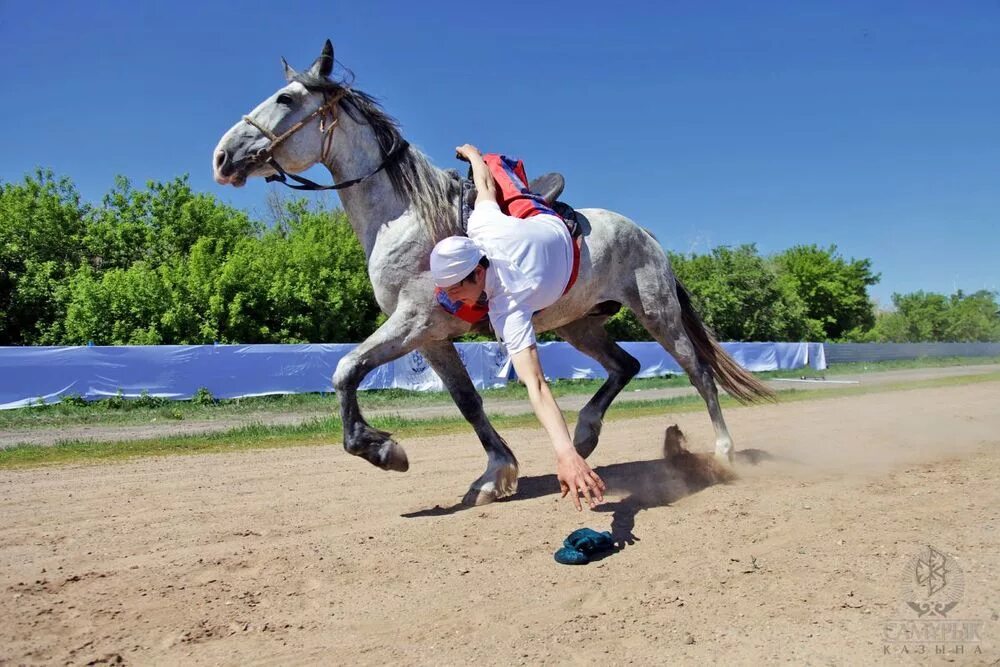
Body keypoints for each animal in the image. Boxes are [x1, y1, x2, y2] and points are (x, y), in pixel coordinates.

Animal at [213, 39, 772, 506]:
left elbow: (346, 369)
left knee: (699, 373)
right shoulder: (431, 337)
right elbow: (467, 401)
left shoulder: (414, 322)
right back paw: (584, 435)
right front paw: (495, 473)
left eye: (286, 99)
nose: (222, 156)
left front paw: (383, 450)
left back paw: (723, 454)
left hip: (657, 314)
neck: (410, 216)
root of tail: (646, 234)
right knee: (625, 366)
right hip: (580, 325)